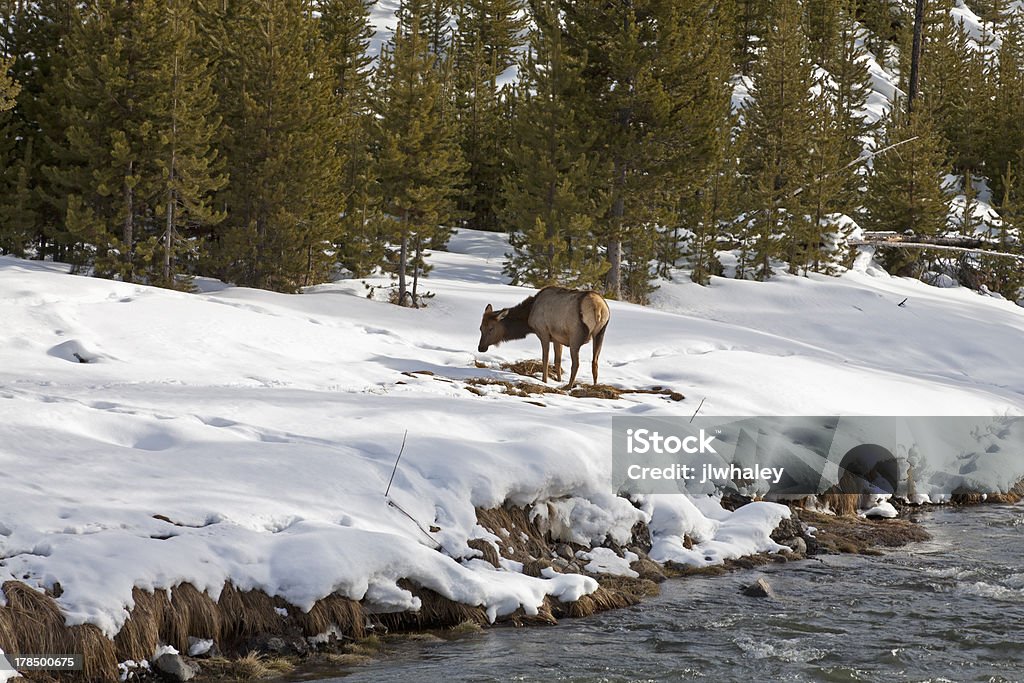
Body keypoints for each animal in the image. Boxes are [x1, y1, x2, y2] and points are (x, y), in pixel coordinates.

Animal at [477, 284, 610, 389]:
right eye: (480, 328)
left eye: (491, 328)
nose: (481, 348)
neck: (528, 317)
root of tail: (598, 308)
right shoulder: (557, 338)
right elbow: (557, 361)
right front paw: (558, 380)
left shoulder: (543, 331)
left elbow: (545, 359)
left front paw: (544, 381)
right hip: (600, 333)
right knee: (595, 362)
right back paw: (595, 386)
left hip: (575, 335)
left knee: (576, 363)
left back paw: (568, 386)